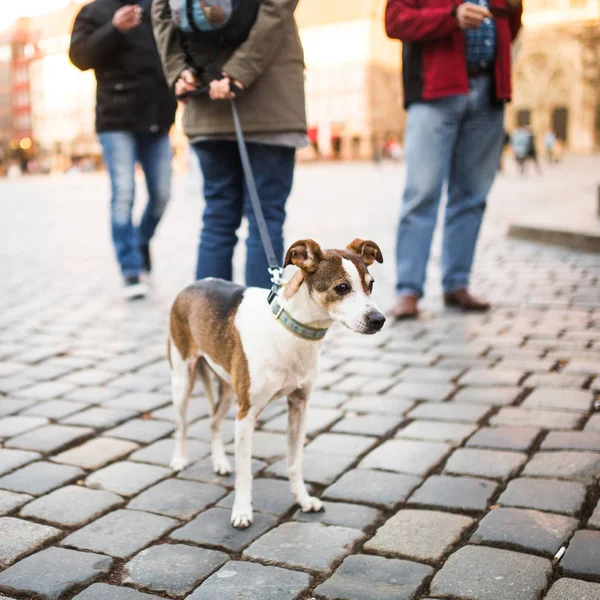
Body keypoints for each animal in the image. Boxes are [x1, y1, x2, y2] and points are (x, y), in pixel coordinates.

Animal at [169, 237, 384, 528]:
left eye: (370, 284)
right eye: (342, 287)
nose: (379, 320)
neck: (292, 331)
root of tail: (192, 285)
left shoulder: (299, 407)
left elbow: (294, 462)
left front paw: (303, 501)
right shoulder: (246, 414)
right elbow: (245, 471)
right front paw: (242, 512)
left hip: (229, 390)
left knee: (213, 421)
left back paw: (220, 463)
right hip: (182, 379)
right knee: (181, 423)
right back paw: (179, 459)